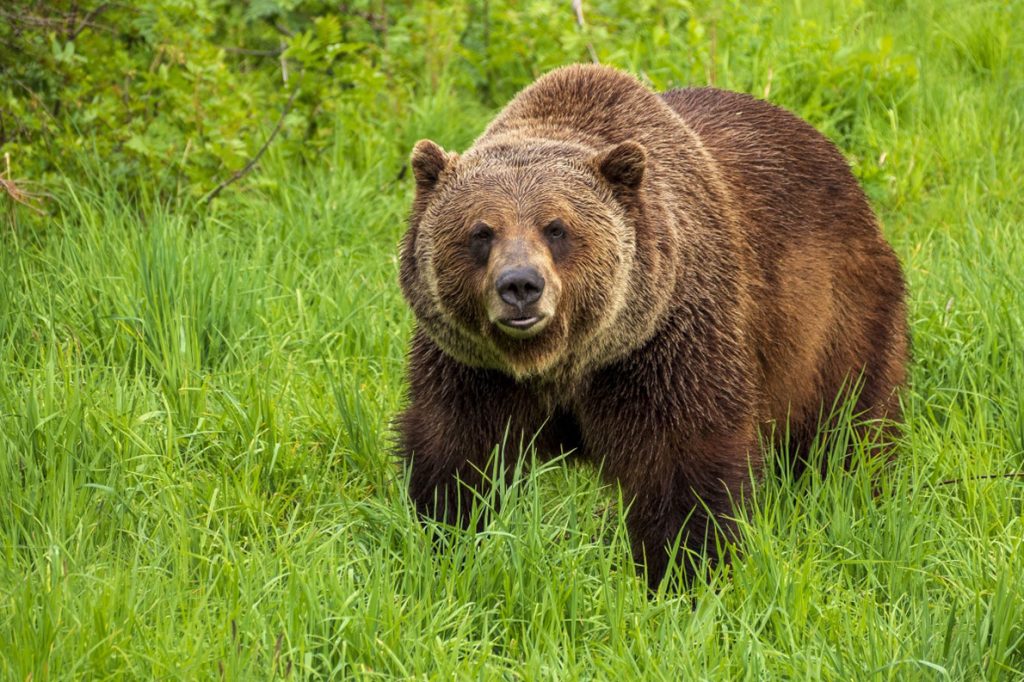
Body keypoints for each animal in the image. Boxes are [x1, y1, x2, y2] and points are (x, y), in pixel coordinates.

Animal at [395, 62, 909, 585]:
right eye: (481, 232)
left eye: (556, 228)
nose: (520, 285)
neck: (564, 360)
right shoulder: (473, 367)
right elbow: (458, 453)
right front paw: (447, 539)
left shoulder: (665, 345)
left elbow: (681, 464)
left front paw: (686, 568)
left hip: (834, 316)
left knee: (848, 422)